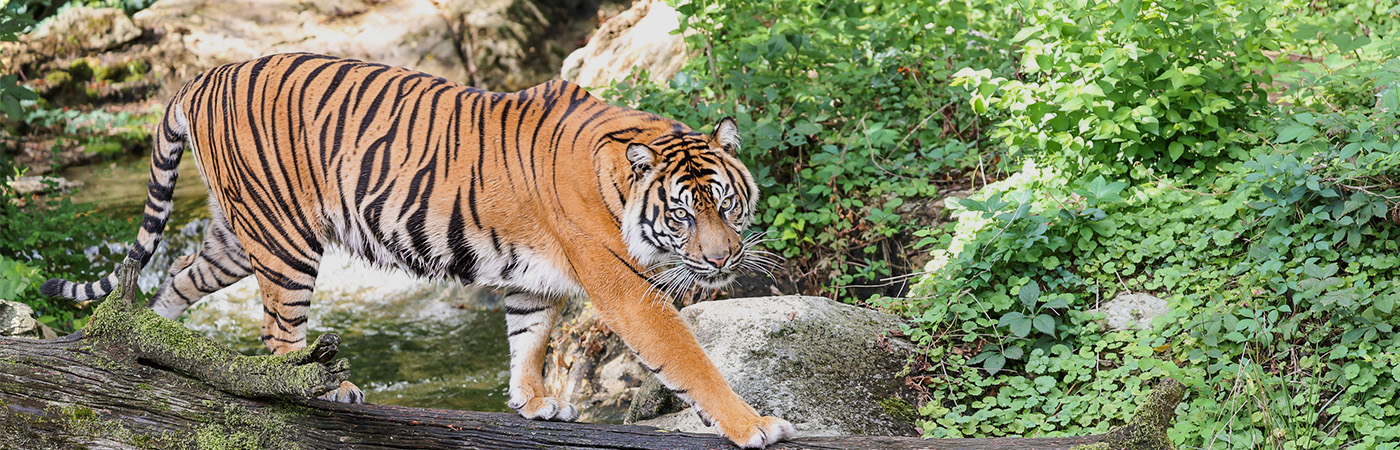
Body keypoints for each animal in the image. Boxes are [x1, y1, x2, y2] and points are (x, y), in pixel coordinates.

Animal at [40, 53, 795, 448]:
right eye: (684, 214)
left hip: (236, 231)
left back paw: (152, 348)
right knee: (279, 335)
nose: (723, 261)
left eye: (727, 205)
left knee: (174, 280)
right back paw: (319, 387)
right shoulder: (625, 288)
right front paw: (754, 425)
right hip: (286, 240)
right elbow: (689, 359)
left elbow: (528, 337)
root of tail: (204, 75)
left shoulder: (533, 278)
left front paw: (532, 403)